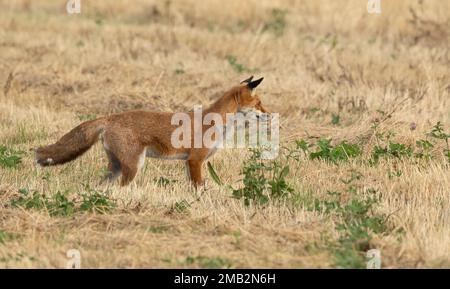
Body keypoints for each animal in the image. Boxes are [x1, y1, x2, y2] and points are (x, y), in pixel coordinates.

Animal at [36, 75, 268, 186]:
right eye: (259, 104)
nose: (270, 114)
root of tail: (110, 117)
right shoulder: (195, 160)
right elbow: (199, 187)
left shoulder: (189, 162)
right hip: (133, 165)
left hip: (116, 167)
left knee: (102, 186)